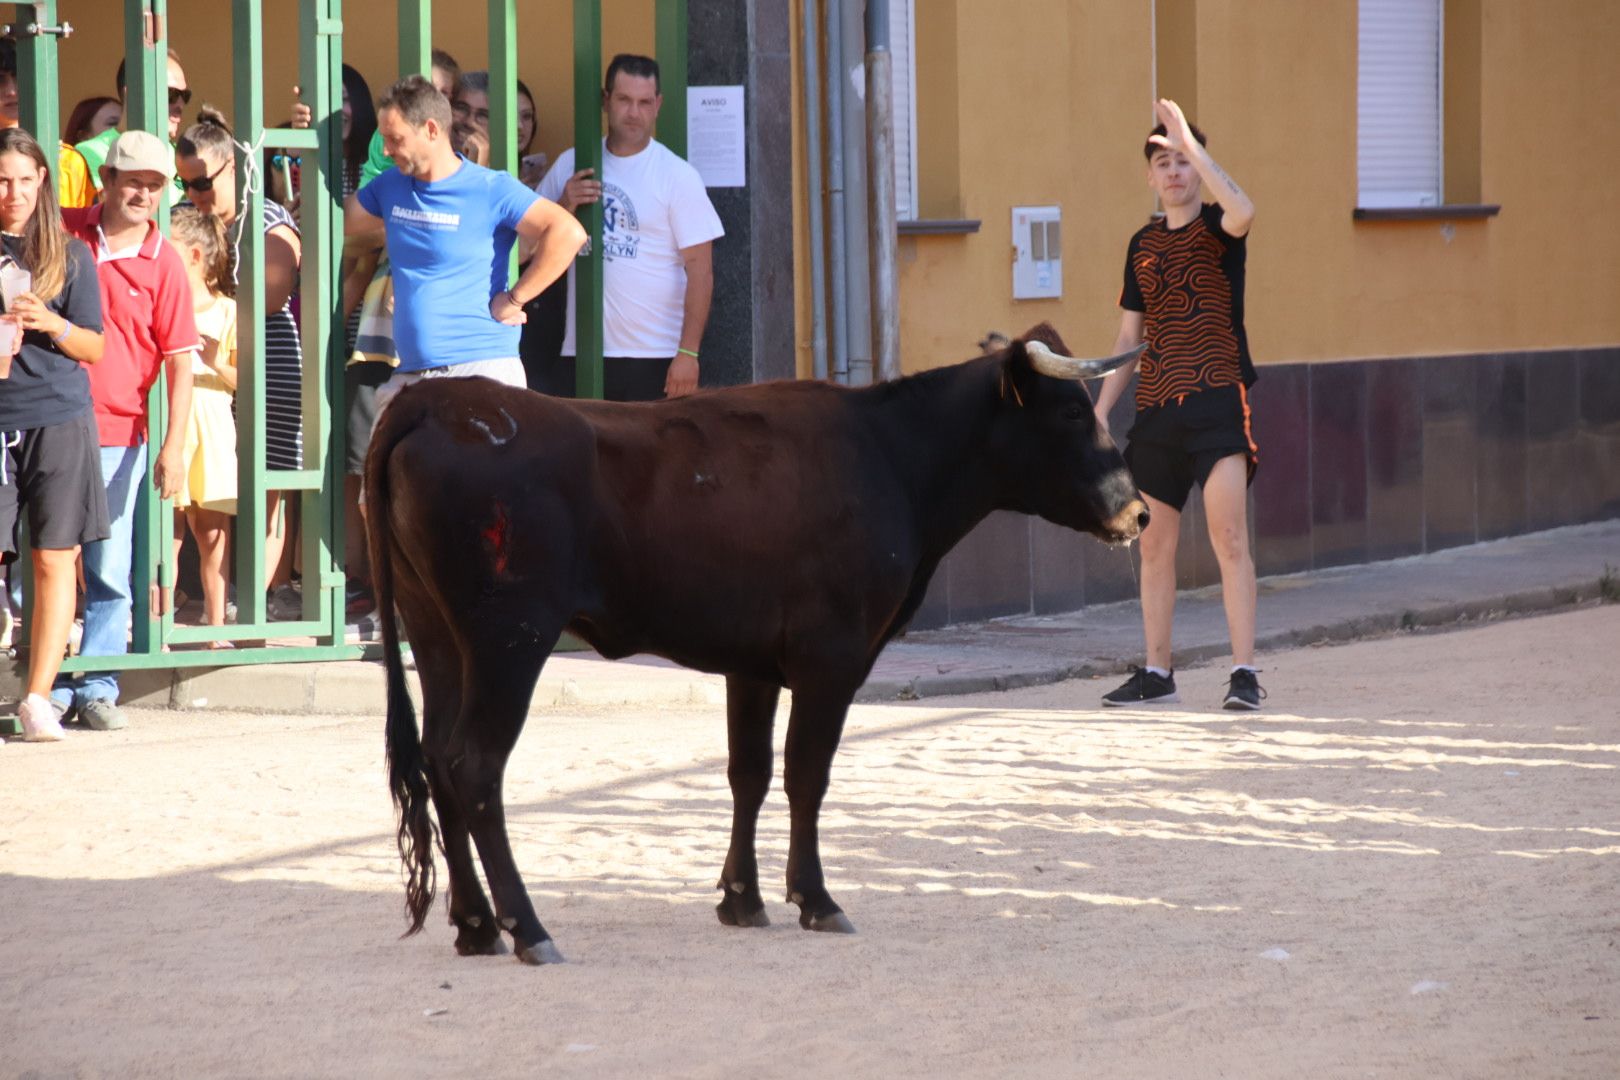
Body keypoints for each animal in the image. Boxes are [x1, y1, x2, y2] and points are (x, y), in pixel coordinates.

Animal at [370, 320, 1153, 965]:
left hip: (436, 636)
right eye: (1071, 412)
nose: (1139, 512)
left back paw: (474, 926)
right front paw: (815, 898)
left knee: (438, 759)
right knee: (475, 766)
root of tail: (438, 401)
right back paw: (527, 929)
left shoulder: (749, 665)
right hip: (511, 637)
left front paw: (741, 900)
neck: (889, 455)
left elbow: (747, 771)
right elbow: (807, 773)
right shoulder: (832, 657)